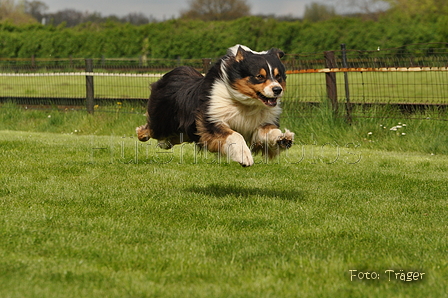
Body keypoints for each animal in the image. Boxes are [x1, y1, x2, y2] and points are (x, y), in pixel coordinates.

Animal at [138, 44, 296, 166]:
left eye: (278, 76)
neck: (245, 103)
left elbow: (269, 132)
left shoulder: (259, 126)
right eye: (259, 76)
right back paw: (141, 134)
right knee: (152, 129)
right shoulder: (211, 120)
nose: (277, 90)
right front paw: (244, 156)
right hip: (163, 122)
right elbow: (235, 135)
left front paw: (283, 138)